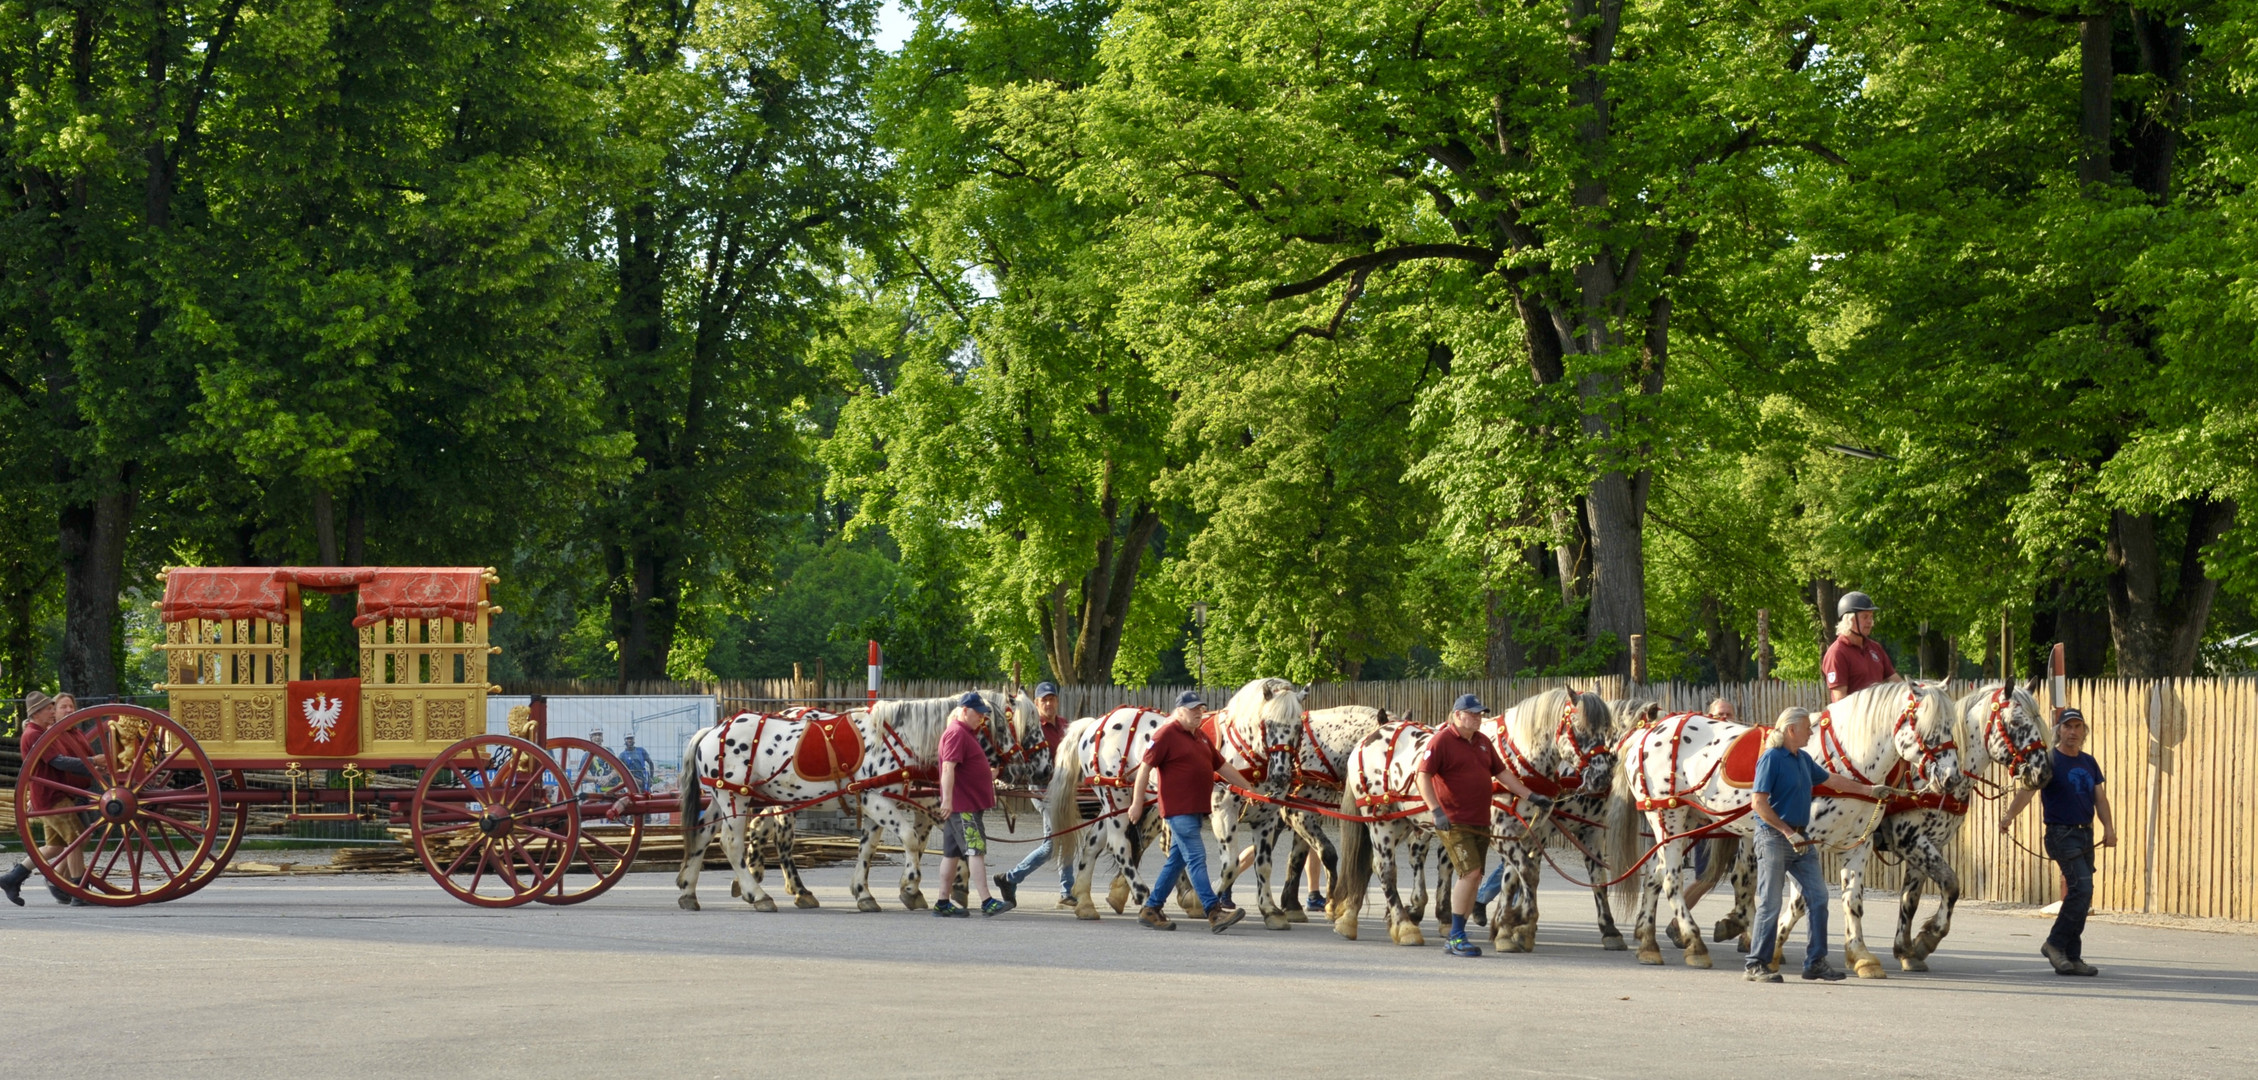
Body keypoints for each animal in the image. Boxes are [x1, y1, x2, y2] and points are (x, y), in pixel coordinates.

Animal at [672, 691, 1043, 912]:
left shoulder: (879, 803)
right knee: (735, 842)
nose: (1028, 769)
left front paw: (864, 893)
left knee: (705, 836)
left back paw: (689, 890)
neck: (902, 737)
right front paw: (911, 887)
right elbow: (911, 839)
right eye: (1007, 726)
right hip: (736, 798)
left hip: (725, 798)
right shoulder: (880, 799)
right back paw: (759, 893)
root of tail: (712, 730)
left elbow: (869, 848)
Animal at [1607, 682, 1959, 980]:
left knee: (1654, 878)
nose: (1951, 777)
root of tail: (1648, 730)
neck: (1846, 760)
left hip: (1683, 823)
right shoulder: (1804, 841)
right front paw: (1770, 948)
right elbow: (1799, 900)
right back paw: (1694, 943)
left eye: (1951, 726)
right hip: (1668, 816)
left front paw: (1860, 955)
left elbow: (1852, 901)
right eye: (1928, 727)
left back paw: (1648, 944)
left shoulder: (1857, 846)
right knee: (1671, 882)